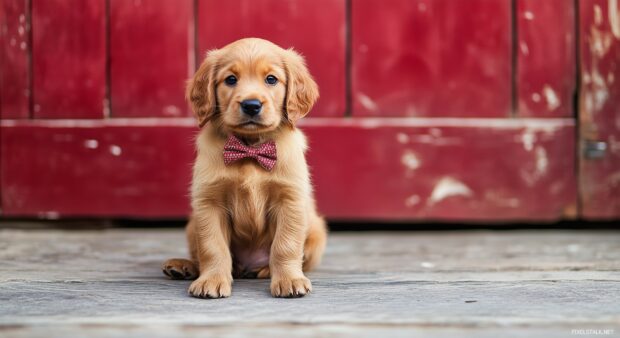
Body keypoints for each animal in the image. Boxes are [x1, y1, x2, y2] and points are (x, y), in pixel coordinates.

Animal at [163, 37, 330, 298]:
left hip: (316, 230)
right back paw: (183, 266)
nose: (251, 105)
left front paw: (289, 280)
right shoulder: (208, 202)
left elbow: (286, 245)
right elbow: (212, 246)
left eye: (271, 79)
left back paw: (264, 270)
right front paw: (211, 280)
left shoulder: (290, 200)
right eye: (231, 79)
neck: (250, 147)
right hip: (192, 225)